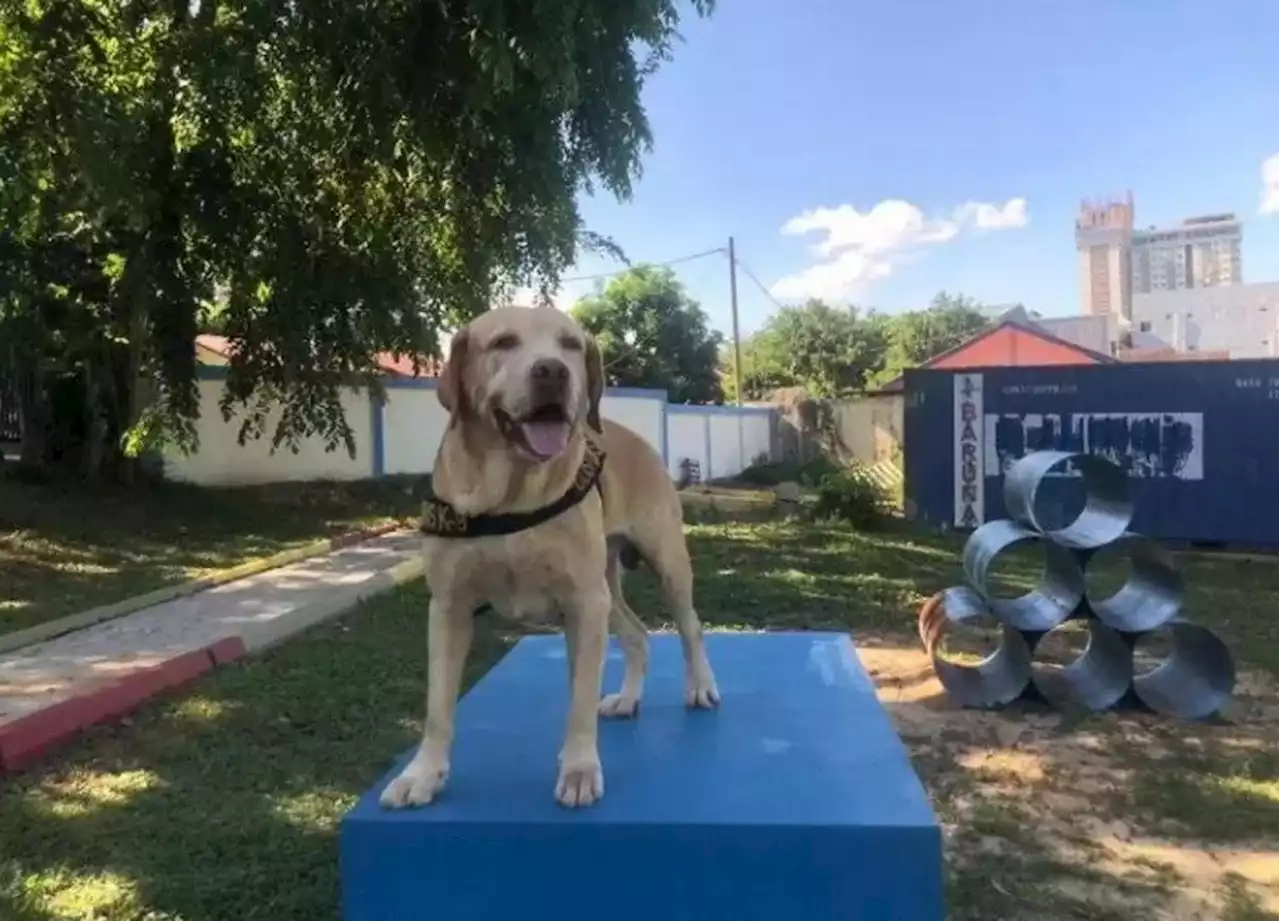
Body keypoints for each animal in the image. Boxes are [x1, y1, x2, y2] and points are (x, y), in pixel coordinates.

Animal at [378, 305, 721, 808]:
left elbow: (579, 699)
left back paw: (700, 686)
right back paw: (627, 698)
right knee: (637, 634)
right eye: (503, 342)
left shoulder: (583, 603)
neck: (511, 495)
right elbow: (438, 705)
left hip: (665, 562)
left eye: (571, 345)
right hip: (606, 588)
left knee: (690, 626)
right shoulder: (447, 608)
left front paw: (578, 770)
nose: (553, 372)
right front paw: (422, 773)